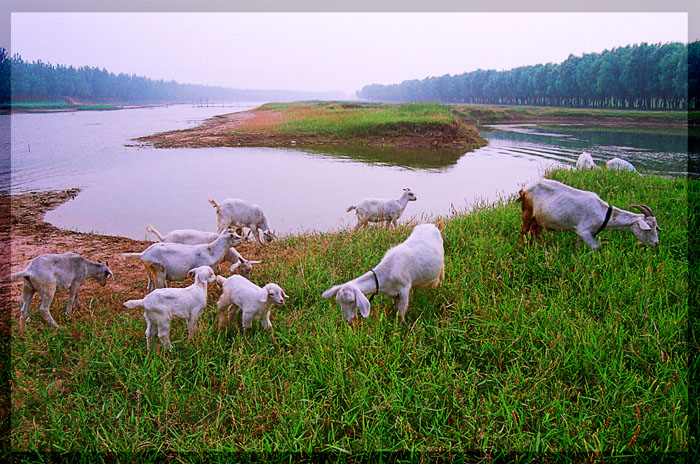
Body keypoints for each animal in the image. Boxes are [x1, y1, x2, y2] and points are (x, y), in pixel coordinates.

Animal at [520, 179, 660, 250]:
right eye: (649, 229)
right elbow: (596, 247)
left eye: (656, 226)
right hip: (528, 212)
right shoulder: (584, 230)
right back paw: (522, 247)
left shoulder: (583, 234)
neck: (604, 214)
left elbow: (578, 247)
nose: (656, 243)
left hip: (539, 219)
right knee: (523, 232)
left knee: (535, 232)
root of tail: (524, 189)